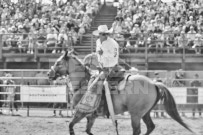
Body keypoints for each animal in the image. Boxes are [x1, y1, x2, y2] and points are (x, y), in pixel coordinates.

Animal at [47, 51, 192, 134]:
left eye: (58, 63)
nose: (49, 74)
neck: (83, 83)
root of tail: (153, 83)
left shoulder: (81, 112)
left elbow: (71, 126)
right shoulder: (91, 116)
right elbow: (88, 131)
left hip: (135, 114)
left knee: (137, 130)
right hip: (145, 113)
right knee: (150, 127)